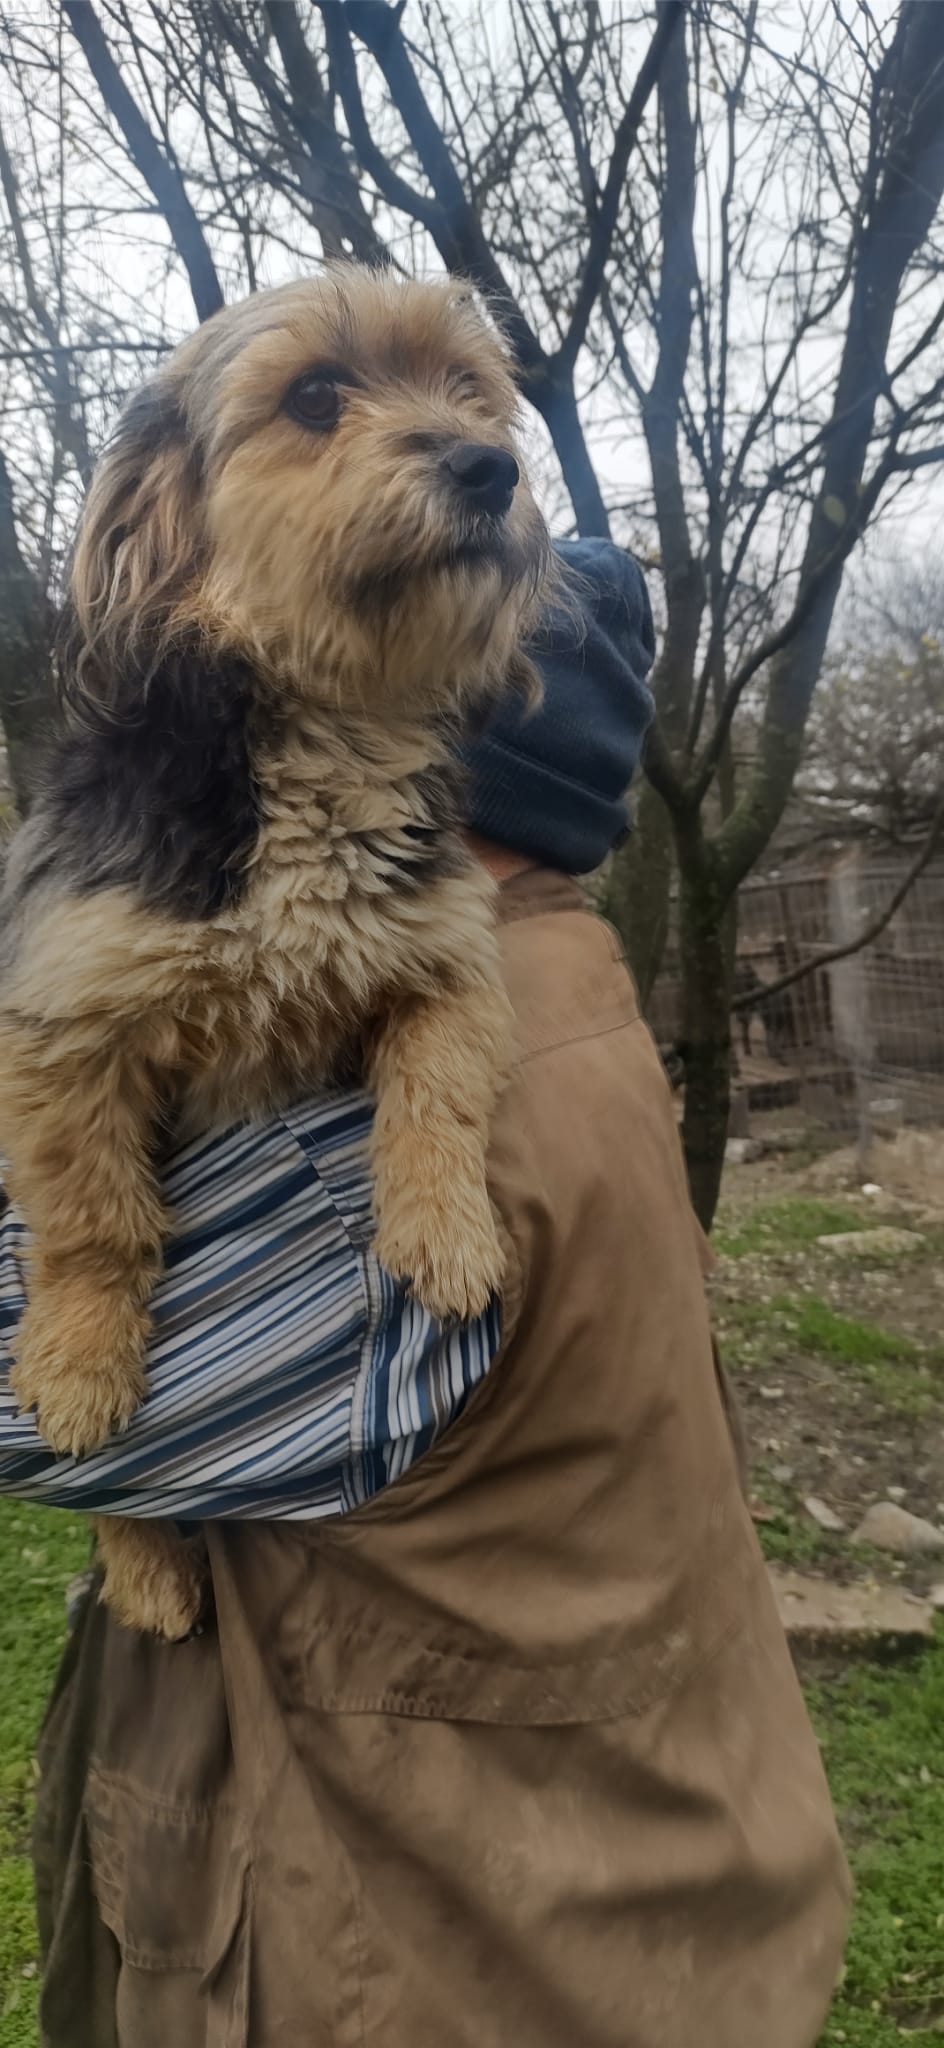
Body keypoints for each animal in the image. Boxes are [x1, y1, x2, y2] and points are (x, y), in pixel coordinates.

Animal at [0, 266, 549, 1639]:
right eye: (312, 398)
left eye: (468, 390)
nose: (489, 467)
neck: (331, 736)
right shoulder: (62, 1019)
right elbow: (89, 1216)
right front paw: (78, 1365)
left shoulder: (449, 953)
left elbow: (438, 1088)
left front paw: (446, 1233)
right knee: (113, 1498)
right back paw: (147, 1566)